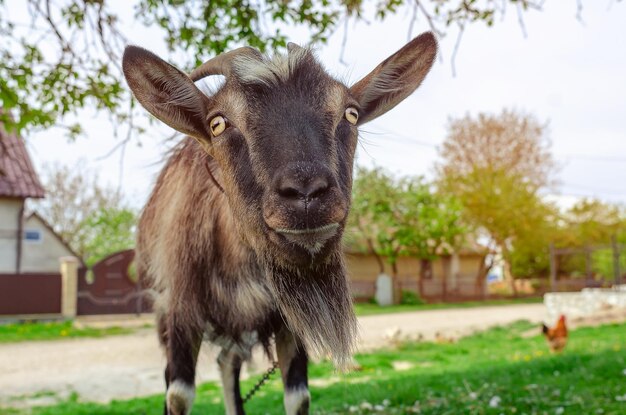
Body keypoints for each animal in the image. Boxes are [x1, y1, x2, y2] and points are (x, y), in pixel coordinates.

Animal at [120, 33, 434, 415]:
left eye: (351, 113)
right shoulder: (179, 309)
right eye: (218, 123)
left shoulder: (289, 324)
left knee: (228, 365)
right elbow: (177, 394)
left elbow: (297, 396)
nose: (306, 194)